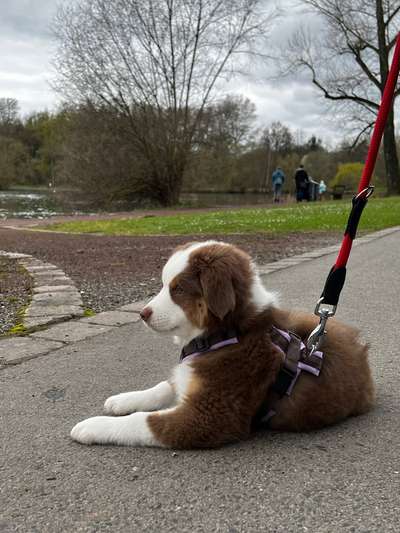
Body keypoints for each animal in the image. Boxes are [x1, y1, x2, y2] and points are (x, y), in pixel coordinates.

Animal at [70, 239, 374, 446]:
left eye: (178, 289)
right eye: (165, 284)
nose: (143, 314)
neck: (228, 333)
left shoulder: (210, 416)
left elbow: (143, 421)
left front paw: (92, 426)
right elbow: (163, 386)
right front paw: (122, 400)